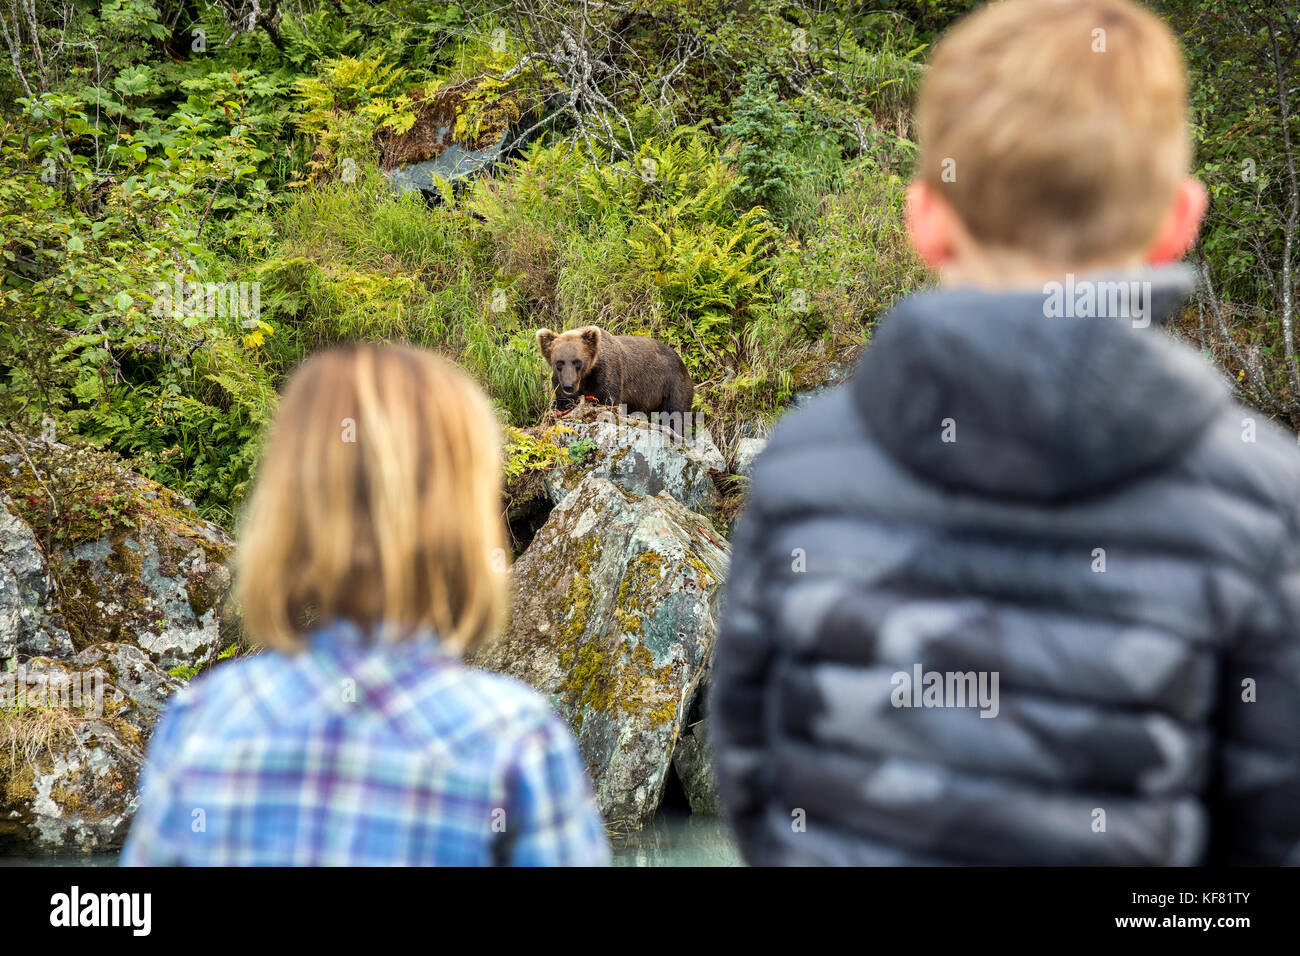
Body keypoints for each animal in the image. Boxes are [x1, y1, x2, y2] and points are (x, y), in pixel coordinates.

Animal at [538, 329, 696, 429]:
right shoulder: (558, 382)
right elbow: (563, 403)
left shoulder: (607, 373)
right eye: (559, 363)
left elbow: (606, 399)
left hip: (672, 383)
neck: (586, 378)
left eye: (578, 362)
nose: (569, 386)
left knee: (676, 412)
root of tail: (680, 360)